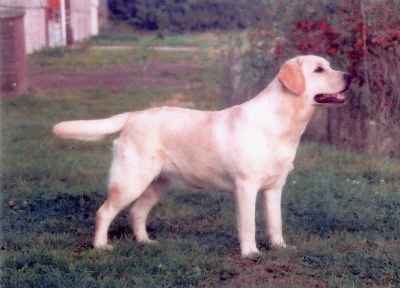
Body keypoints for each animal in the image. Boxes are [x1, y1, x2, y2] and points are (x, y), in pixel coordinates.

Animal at [54, 54, 354, 258]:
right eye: (318, 69)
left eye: (329, 66)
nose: (350, 76)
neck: (283, 123)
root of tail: (132, 115)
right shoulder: (246, 186)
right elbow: (248, 224)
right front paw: (250, 253)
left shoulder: (274, 187)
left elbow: (275, 222)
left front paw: (280, 247)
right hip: (131, 180)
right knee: (104, 212)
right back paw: (101, 246)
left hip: (157, 183)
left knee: (137, 212)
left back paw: (146, 242)